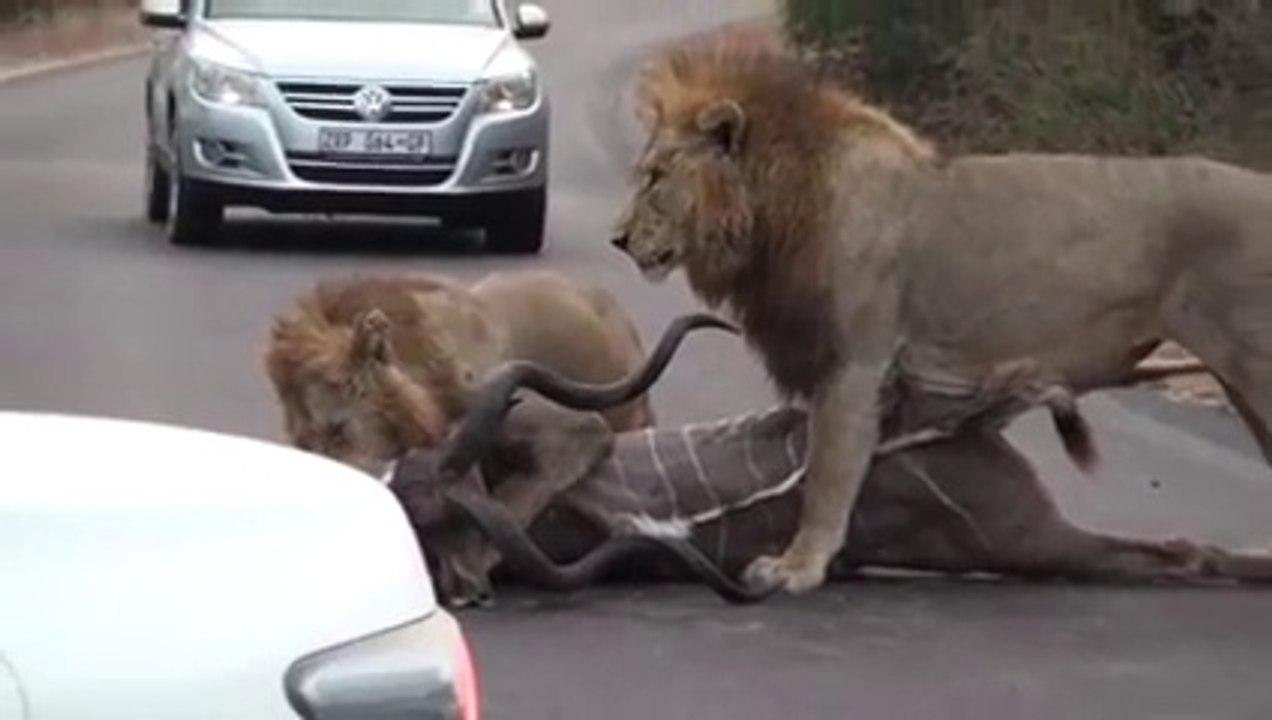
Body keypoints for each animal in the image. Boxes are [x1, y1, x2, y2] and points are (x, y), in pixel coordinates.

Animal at [609, 36, 1272, 595]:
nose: (617, 239)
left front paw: (797, 567)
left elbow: (829, 473)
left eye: (656, 178)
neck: (779, 206)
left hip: (1255, 367)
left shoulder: (856, 363)